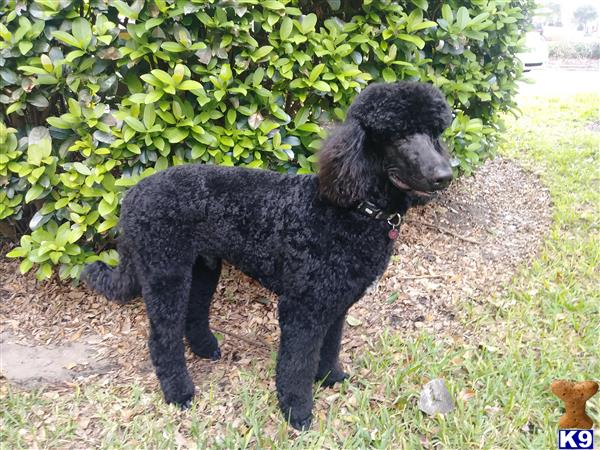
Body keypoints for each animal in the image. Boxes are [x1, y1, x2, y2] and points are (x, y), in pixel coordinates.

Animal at [83, 82, 450, 430]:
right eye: (398, 134)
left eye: (434, 133)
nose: (444, 175)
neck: (354, 209)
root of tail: (132, 195)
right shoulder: (302, 308)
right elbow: (296, 364)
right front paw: (297, 412)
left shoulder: (336, 303)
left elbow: (330, 346)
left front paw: (331, 378)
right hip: (164, 271)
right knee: (162, 339)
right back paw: (179, 392)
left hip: (203, 266)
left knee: (194, 313)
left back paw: (206, 349)